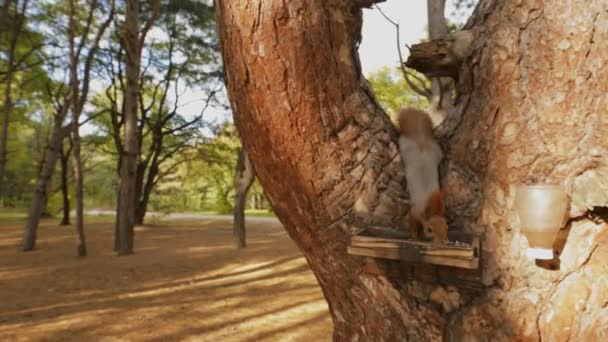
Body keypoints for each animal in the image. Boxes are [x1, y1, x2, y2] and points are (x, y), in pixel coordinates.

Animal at [396, 107, 448, 243]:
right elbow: (413, 224)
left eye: (447, 227)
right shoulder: (414, 211)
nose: (442, 242)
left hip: (436, 151)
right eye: (429, 230)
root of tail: (421, 139)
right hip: (405, 146)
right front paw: (414, 238)